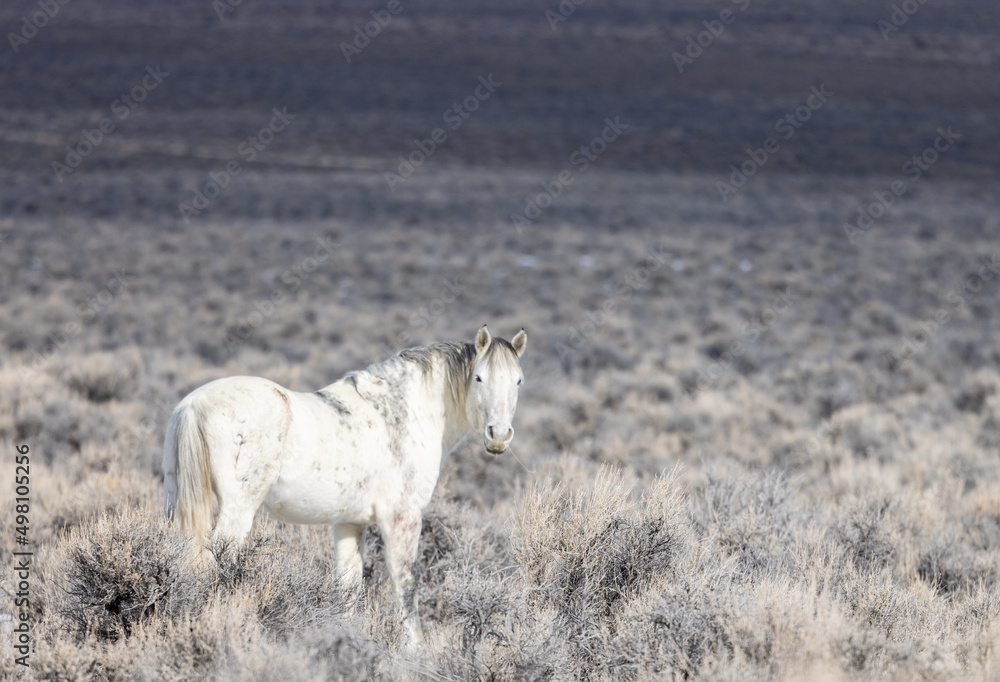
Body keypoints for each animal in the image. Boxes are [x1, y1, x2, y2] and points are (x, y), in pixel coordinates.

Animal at [162, 325, 526, 645]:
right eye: (478, 377)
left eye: (519, 381)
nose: (499, 435)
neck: (405, 413)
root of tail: (194, 404)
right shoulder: (402, 519)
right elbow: (406, 586)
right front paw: (416, 651)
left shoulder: (350, 523)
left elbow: (348, 589)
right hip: (237, 511)